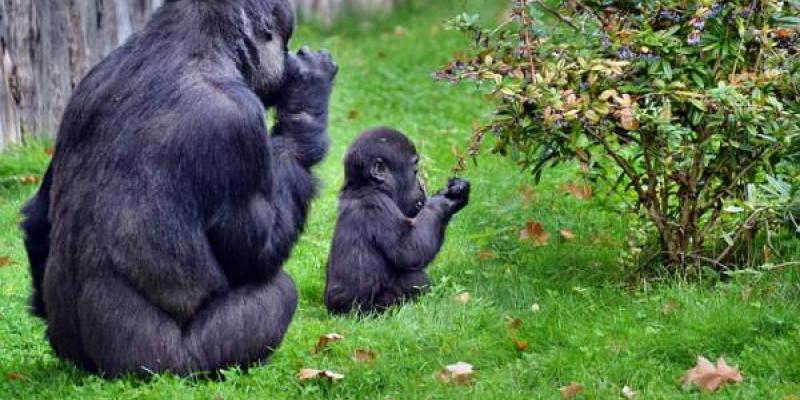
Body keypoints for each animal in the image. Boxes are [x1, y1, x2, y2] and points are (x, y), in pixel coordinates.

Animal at [19, 0, 334, 378]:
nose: (288, 56)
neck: (195, 44)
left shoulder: (84, 88)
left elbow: (38, 221)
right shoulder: (238, 120)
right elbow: (256, 256)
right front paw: (306, 103)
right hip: (168, 366)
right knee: (279, 291)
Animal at [324, 126, 468, 314]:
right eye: (414, 172)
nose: (421, 185)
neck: (366, 186)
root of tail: (335, 312)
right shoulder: (379, 206)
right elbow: (409, 250)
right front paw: (445, 202)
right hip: (369, 310)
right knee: (415, 278)